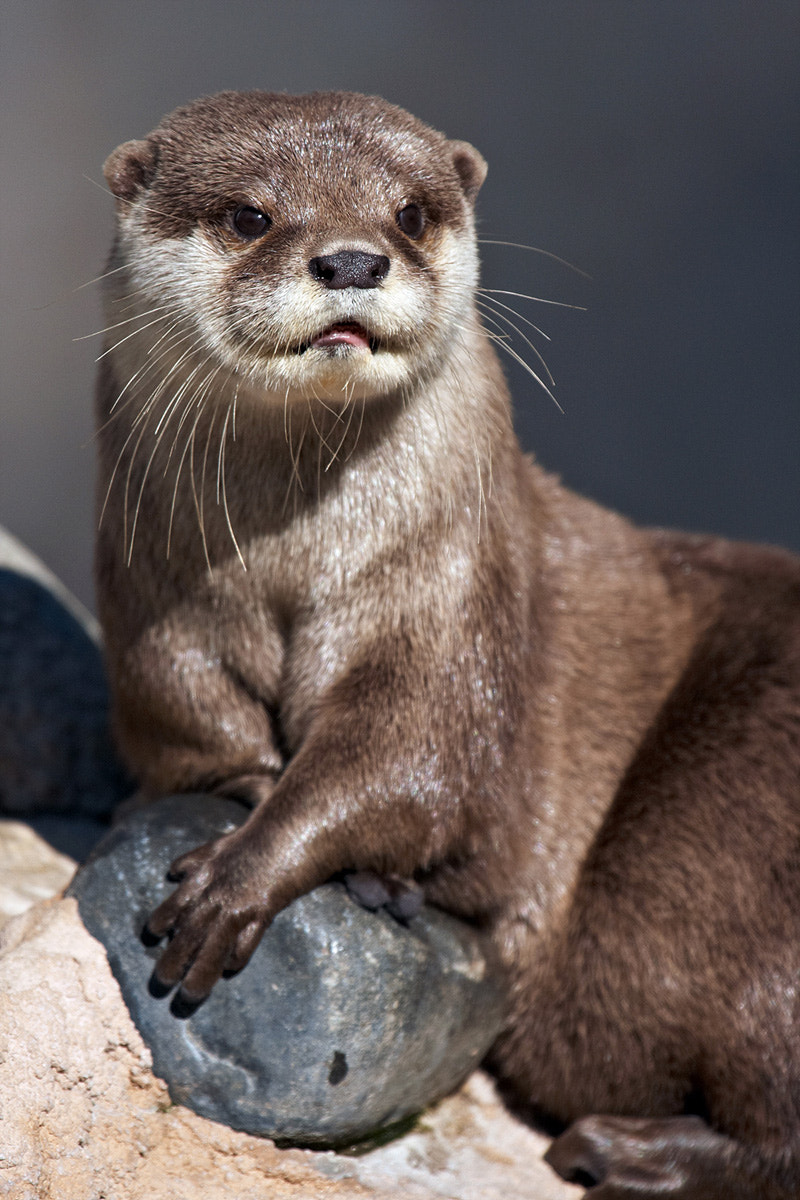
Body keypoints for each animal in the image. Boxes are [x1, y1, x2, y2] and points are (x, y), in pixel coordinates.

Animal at [95, 93, 800, 1200]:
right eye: (250, 216)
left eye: (411, 213)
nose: (351, 260)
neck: (294, 553)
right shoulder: (154, 603)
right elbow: (182, 722)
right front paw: (255, 791)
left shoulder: (448, 595)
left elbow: (410, 753)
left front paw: (247, 874)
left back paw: (625, 1151)